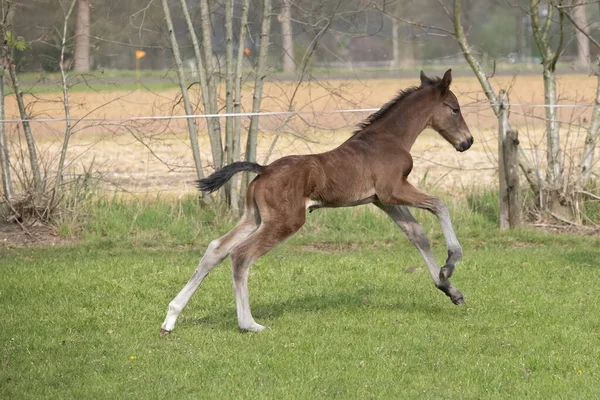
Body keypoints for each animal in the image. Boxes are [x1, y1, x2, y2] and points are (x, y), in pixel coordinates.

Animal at [159, 69, 474, 334]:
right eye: (454, 108)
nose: (467, 142)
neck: (389, 139)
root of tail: (263, 169)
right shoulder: (393, 189)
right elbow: (440, 204)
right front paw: (450, 263)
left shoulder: (381, 200)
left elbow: (417, 234)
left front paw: (449, 288)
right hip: (286, 221)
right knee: (240, 255)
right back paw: (249, 324)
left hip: (254, 217)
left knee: (216, 249)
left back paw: (171, 318)